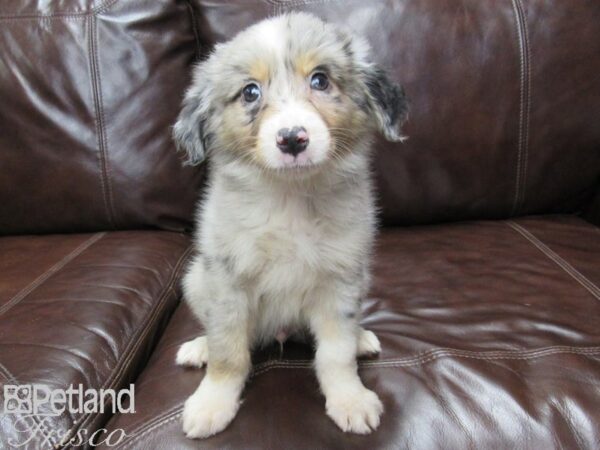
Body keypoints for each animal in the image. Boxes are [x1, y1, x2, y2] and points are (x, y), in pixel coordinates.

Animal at [173, 13, 408, 440]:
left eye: (320, 80)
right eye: (250, 92)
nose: (292, 139)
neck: (290, 198)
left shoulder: (340, 281)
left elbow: (335, 354)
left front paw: (349, 399)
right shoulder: (228, 282)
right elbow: (229, 352)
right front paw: (212, 403)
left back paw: (361, 337)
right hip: (196, 279)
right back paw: (199, 347)